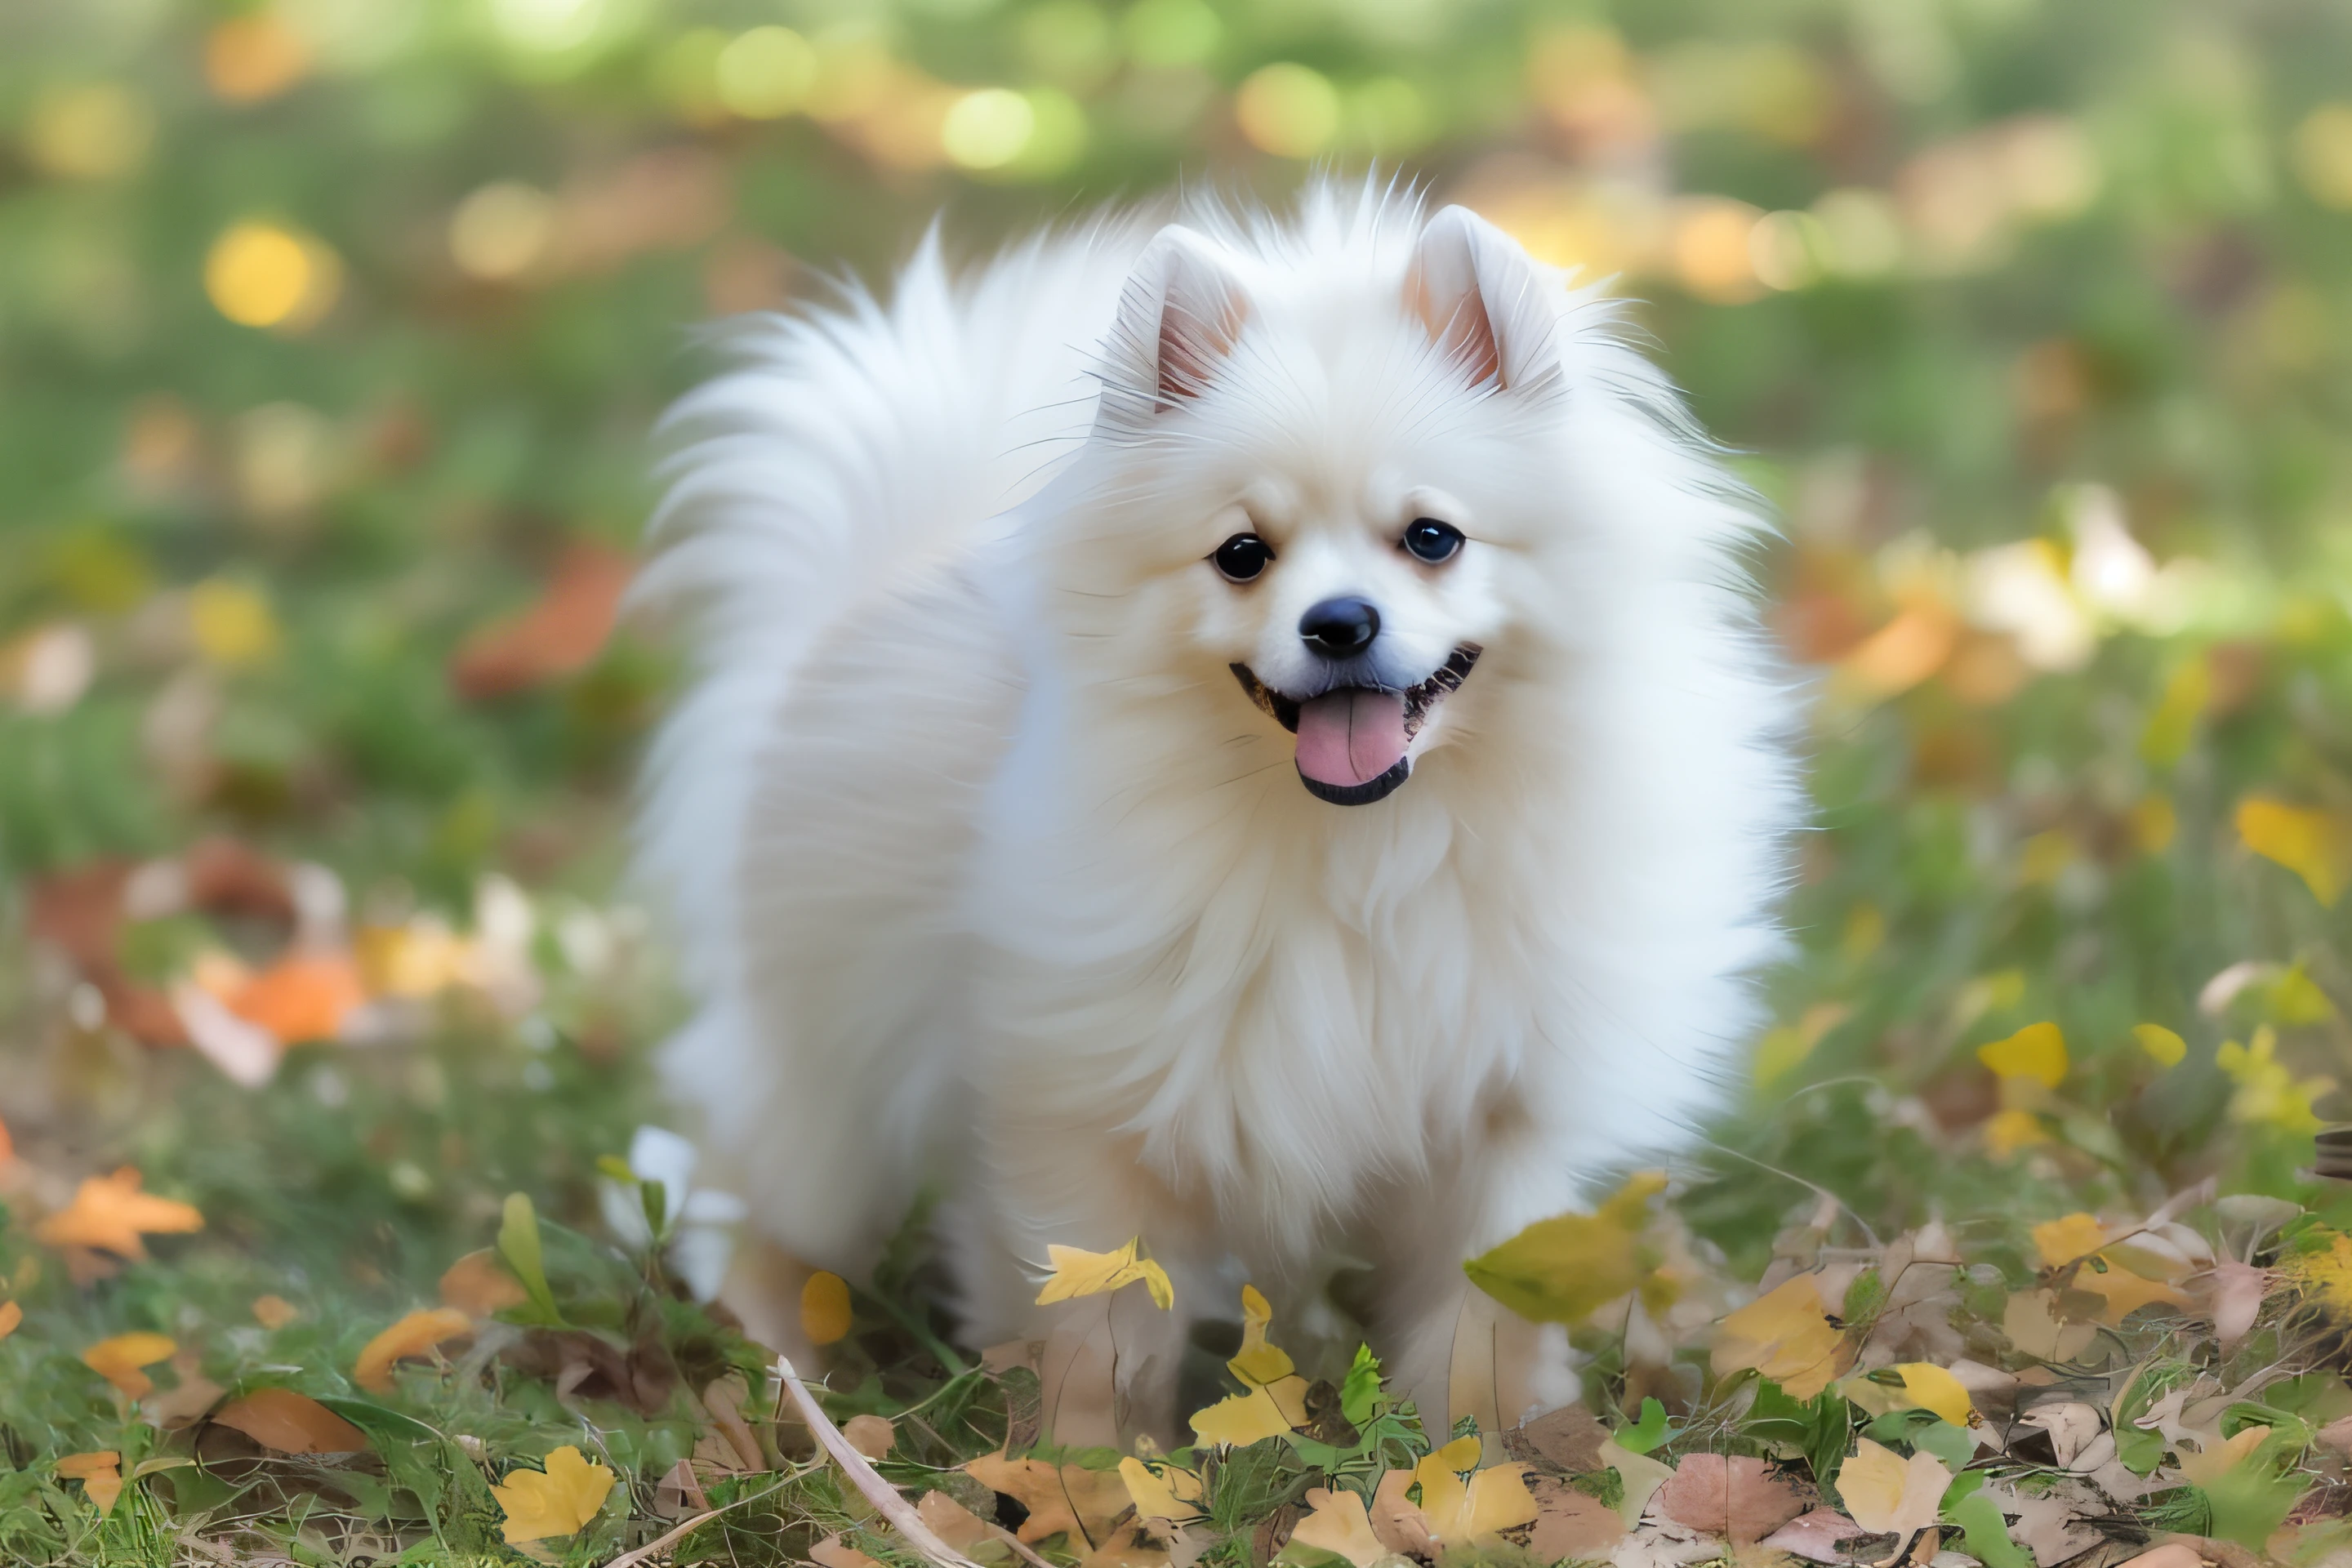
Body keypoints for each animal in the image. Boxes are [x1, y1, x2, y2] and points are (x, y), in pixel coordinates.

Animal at [635, 177, 1787, 1429]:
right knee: (763, 1192)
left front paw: (1485, 1445)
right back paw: (773, 1351)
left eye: (1431, 537)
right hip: (827, 1080)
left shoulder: (1500, 1119)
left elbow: (1482, 1312)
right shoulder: (1083, 1112)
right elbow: (1096, 1322)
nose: (1339, 621)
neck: (1364, 848)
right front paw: (1079, 1464)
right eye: (1242, 554)